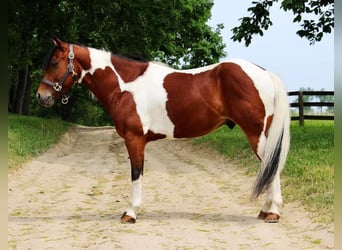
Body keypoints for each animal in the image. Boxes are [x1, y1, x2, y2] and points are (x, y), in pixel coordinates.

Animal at [36, 38, 288, 224]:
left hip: (257, 135)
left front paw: (130, 213)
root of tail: (264, 72)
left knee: (271, 167)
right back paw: (265, 210)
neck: (125, 85)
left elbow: (136, 174)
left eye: (54, 62)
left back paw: (273, 213)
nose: (41, 96)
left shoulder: (134, 139)